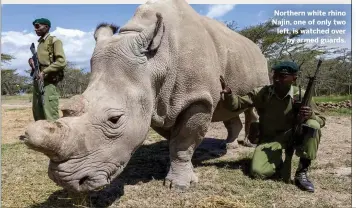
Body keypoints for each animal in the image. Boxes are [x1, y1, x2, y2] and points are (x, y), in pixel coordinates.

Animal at [23, 0, 270, 193]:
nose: (65, 181)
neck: (156, 63)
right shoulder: (158, 103)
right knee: (228, 107)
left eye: (114, 120)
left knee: (253, 102)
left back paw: (247, 144)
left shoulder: (197, 99)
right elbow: (174, 139)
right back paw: (229, 146)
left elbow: (183, 142)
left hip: (260, 65)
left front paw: (179, 185)